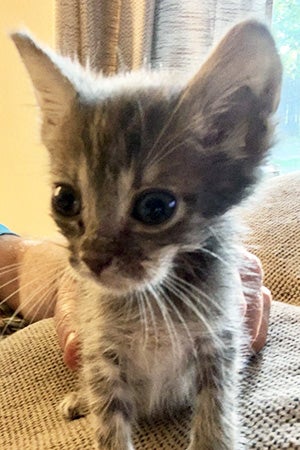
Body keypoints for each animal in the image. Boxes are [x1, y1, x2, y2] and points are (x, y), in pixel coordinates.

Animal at [11, 19, 282, 448]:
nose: (92, 258)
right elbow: (109, 423)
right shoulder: (101, 353)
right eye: (64, 199)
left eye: (156, 207)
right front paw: (93, 407)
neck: (151, 300)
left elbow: (216, 413)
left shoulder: (219, 341)